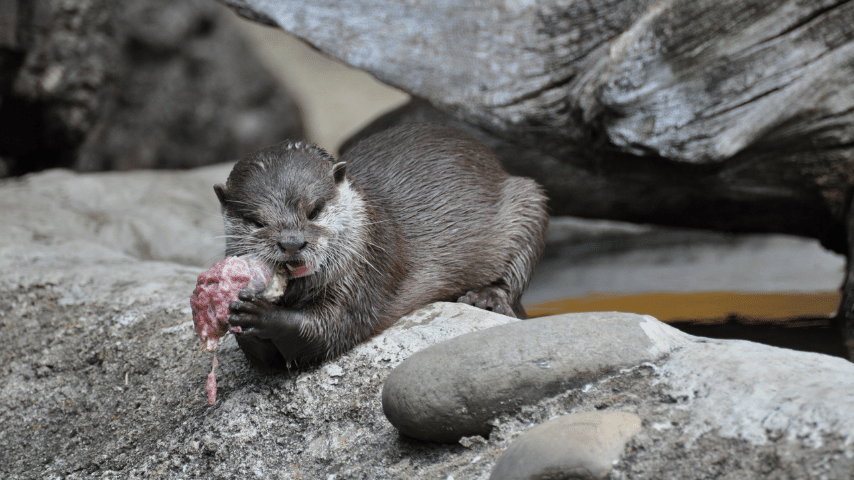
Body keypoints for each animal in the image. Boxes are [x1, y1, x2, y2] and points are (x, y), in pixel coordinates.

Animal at [214, 124, 548, 368]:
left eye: (314, 211)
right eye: (257, 221)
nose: (292, 243)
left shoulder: (366, 272)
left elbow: (330, 329)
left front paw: (263, 316)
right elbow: (263, 360)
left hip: (528, 201)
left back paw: (486, 297)